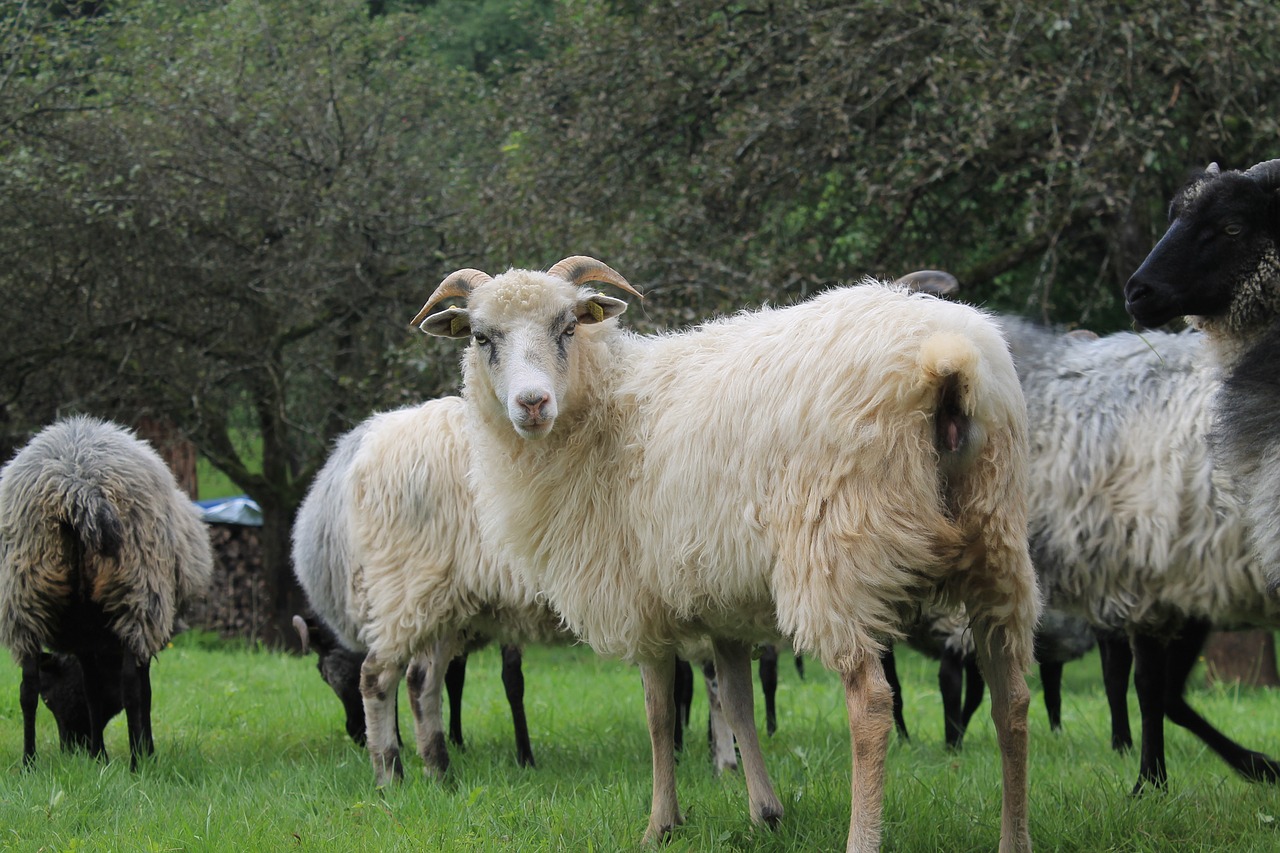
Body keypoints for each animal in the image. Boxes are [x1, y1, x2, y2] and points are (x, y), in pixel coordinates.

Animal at [0, 414, 212, 768]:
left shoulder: (85, 637)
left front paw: (99, 755)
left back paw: (29, 762)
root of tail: (77, 488)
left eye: (52, 697)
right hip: (138, 592)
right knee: (131, 689)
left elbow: (92, 692)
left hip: (24, 593)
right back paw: (137, 764)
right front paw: (143, 749)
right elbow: (142, 690)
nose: (71, 746)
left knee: (26, 688)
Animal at [412, 253, 1039, 850]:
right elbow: (737, 703)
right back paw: (1015, 839)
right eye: (481, 337)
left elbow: (659, 713)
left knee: (870, 705)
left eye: (568, 327)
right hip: (998, 549)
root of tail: (946, 359)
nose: (532, 403)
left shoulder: (643, 596)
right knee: (1012, 701)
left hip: (838, 554)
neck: (607, 406)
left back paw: (863, 838)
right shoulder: (723, 598)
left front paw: (660, 825)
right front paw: (766, 813)